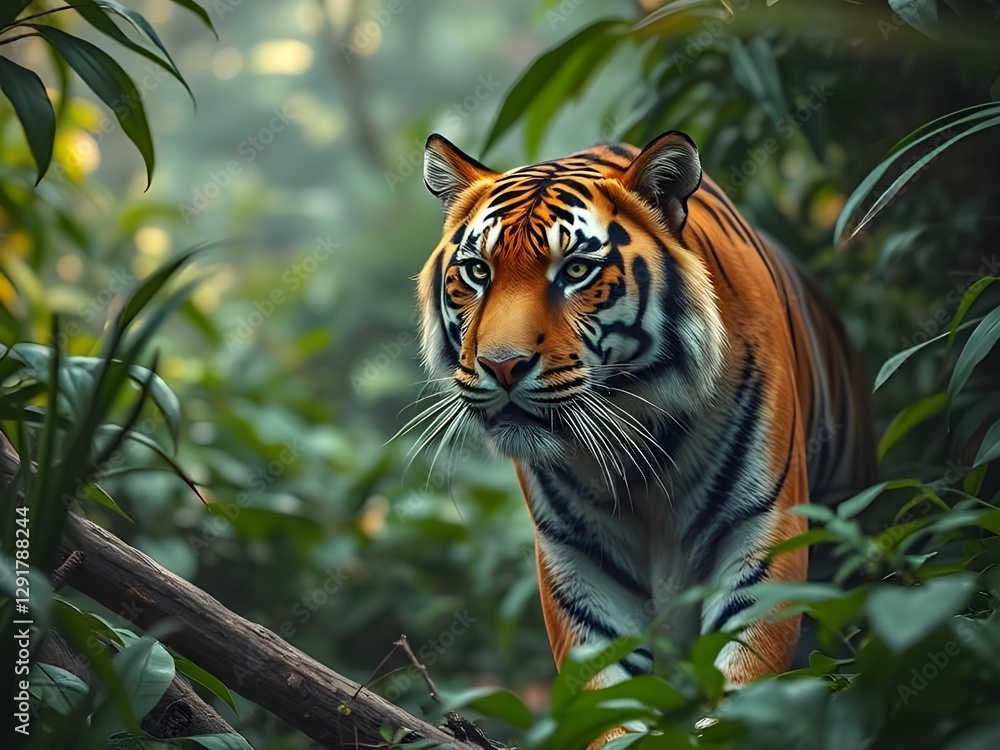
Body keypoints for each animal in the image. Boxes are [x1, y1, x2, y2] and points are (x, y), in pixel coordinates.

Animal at [413, 130, 876, 745]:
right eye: (478, 272)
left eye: (575, 271)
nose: (502, 365)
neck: (637, 425)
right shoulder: (579, 557)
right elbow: (606, 696)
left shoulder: (764, 528)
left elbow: (747, 669)